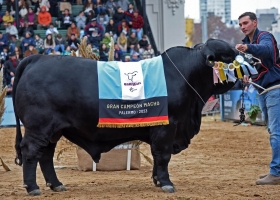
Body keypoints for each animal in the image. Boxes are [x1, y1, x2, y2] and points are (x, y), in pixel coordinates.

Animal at [12, 38, 237, 195]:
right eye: (228, 56)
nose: (245, 60)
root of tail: (37, 58)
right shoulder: (167, 126)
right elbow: (163, 155)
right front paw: (166, 183)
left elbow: (157, 157)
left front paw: (157, 180)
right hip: (39, 127)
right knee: (31, 152)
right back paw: (32, 187)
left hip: (53, 131)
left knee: (46, 155)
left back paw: (56, 184)